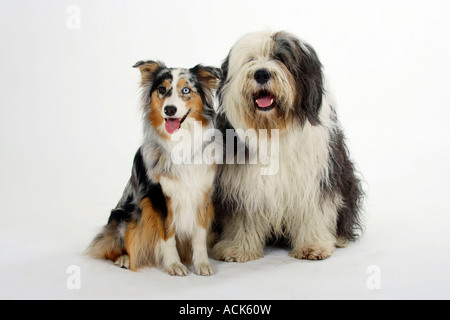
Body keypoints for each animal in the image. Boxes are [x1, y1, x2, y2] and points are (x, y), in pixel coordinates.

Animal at [213, 30, 364, 262]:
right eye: (251, 59)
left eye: (281, 59)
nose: (262, 74)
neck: (272, 129)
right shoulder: (242, 185)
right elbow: (242, 218)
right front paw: (239, 248)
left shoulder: (314, 179)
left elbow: (313, 210)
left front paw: (313, 245)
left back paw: (340, 238)